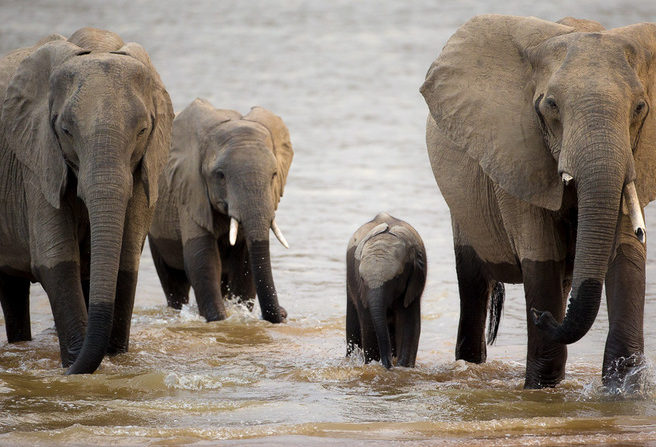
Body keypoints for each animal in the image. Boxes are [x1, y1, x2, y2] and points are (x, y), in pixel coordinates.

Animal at [0, 28, 174, 374]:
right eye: (66, 130)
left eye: (143, 130)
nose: (65, 371)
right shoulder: (37, 160)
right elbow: (56, 260)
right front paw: (75, 365)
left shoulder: (145, 166)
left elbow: (125, 260)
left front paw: (116, 360)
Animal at [149, 100, 294, 326]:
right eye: (220, 175)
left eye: (274, 175)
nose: (283, 312)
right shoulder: (190, 190)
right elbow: (202, 257)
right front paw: (219, 320)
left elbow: (245, 262)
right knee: (173, 283)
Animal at [346, 215, 428, 370]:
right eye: (362, 279)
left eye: (396, 278)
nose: (389, 365)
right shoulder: (361, 290)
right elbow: (369, 324)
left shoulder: (414, 285)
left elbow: (409, 324)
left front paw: (402, 367)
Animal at [420, 15, 656, 390]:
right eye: (551, 106)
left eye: (639, 108)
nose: (538, 315)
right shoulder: (518, 155)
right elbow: (542, 258)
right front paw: (541, 386)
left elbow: (626, 256)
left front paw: (623, 389)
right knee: (472, 283)